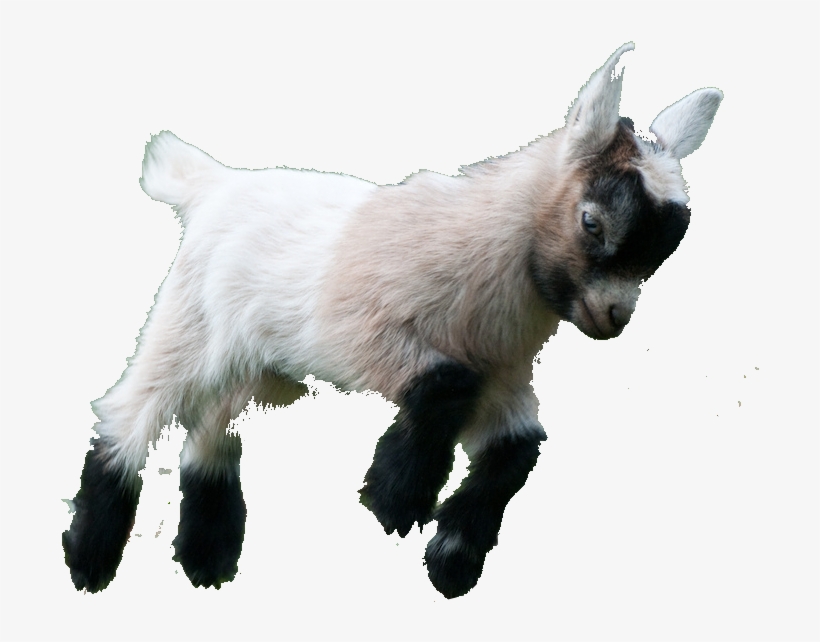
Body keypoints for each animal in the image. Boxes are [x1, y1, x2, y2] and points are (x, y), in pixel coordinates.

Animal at [62, 43, 722, 598]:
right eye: (592, 222)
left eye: (661, 254)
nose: (615, 317)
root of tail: (213, 183)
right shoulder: (360, 329)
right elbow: (446, 384)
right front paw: (394, 498)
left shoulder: (505, 377)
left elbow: (518, 448)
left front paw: (452, 557)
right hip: (190, 323)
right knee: (130, 412)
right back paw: (90, 560)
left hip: (257, 363)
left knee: (209, 427)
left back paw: (208, 555)